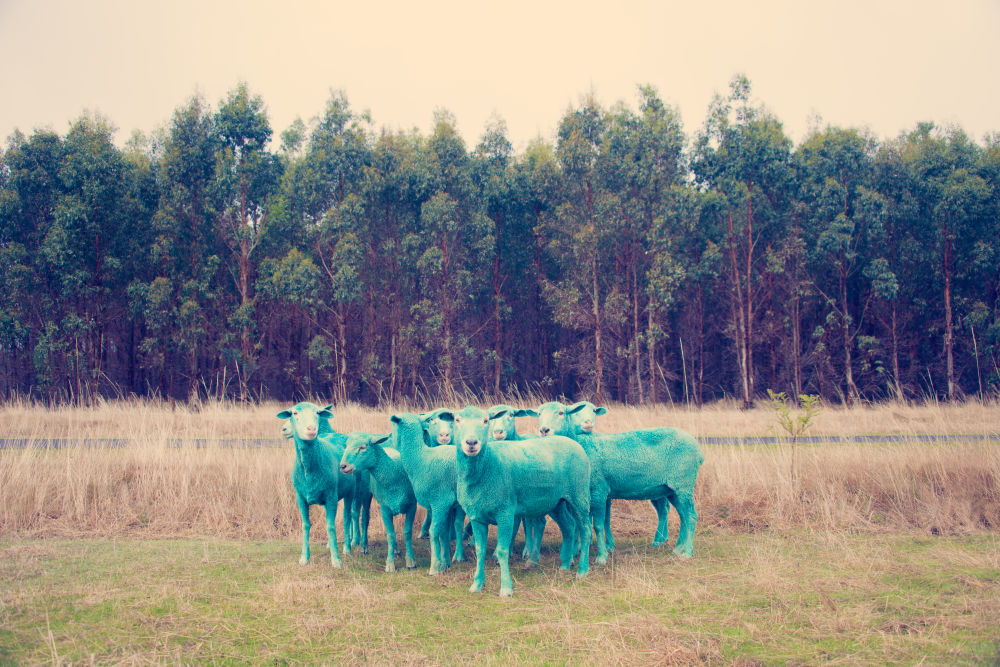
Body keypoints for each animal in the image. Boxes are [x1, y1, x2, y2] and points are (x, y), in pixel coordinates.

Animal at [277, 402, 356, 568]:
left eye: (317, 413)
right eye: (294, 413)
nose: (311, 429)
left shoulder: (331, 496)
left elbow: (331, 526)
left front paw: (336, 560)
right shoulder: (300, 497)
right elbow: (306, 525)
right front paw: (304, 557)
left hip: (350, 491)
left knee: (347, 517)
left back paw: (347, 547)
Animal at [339, 432, 418, 573]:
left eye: (363, 447)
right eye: (346, 445)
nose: (343, 466)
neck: (394, 473)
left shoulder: (412, 506)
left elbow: (407, 532)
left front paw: (410, 561)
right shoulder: (384, 508)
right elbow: (390, 535)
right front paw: (390, 564)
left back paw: (396, 549)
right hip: (365, 493)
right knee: (365, 519)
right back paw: (364, 547)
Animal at [388, 412, 467, 575]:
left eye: (393, 425)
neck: (420, 458)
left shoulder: (440, 501)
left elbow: (433, 531)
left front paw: (435, 566)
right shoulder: (443, 505)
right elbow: (443, 532)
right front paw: (445, 563)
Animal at [444, 405, 592, 597]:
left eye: (486, 421)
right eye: (457, 420)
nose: (471, 442)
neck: (486, 467)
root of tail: (572, 442)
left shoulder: (505, 513)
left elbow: (502, 551)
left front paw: (506, 588)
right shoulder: (477, 516)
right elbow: (480, 551)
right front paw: (477, 585)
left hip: (579, 495)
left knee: (585, 529)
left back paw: (582, 570)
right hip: (556, 502)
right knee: (568, 526)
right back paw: (565, 565)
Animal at [536, 400, 705, 559]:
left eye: (561, 413)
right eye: (538, 414)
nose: (544, 430)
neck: (584, 445)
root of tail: (698, 449)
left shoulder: (599, 490)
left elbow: (598, 525)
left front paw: (601, 556)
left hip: (684, 484)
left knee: (691, 516)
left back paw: (687, 552)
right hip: (671, 489)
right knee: (683, 516)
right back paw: (678, 548)